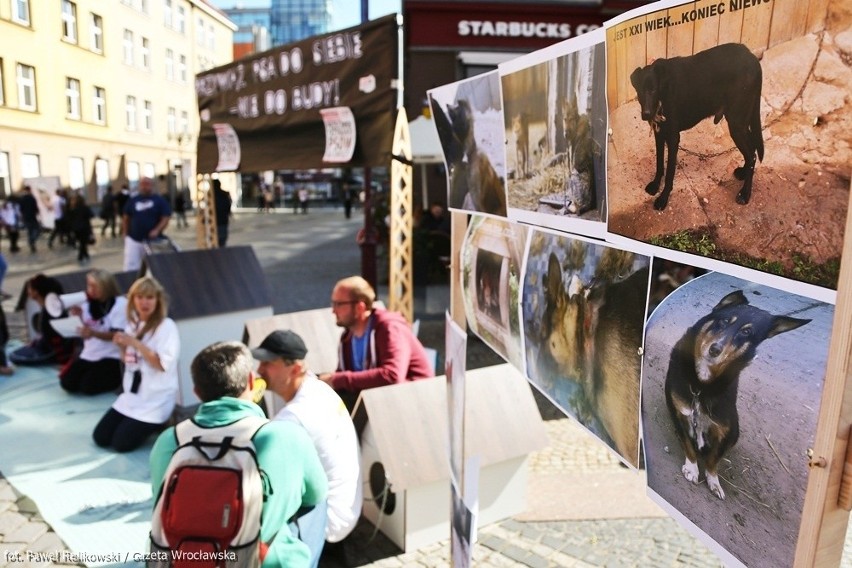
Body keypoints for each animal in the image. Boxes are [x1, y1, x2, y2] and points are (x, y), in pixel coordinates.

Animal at [624, 42, 764, 211]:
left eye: (653, 90)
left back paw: (745, 194)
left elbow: (669, 172)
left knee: (752, 154)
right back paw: (743, 173)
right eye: (640, 91)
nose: (646, 114)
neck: (662, 93)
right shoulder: (659, 134)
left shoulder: (673, 138)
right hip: (741, 122)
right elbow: (659, 164)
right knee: (752, 150)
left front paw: (663, 198)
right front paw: (655, 185)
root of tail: (752, 57)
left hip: (737, 123)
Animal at [664, 290, 808, 500]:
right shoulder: (679, 412)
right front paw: (691, 468)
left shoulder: (728, 430)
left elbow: (713, 460)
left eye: (746, 332)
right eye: (724, 321)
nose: (715, 349)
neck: (701, 387)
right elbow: (689, 445)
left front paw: (714, 481)